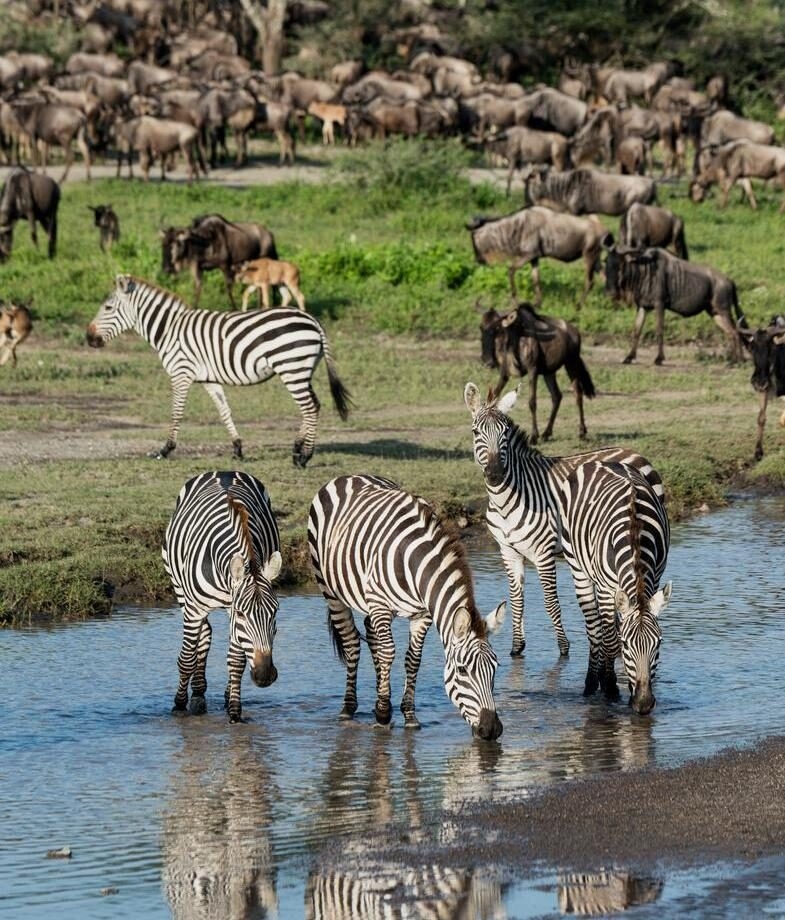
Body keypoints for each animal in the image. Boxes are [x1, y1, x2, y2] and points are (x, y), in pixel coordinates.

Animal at [86, 274, 351, 467]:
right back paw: (297, 449)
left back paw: (304, 457)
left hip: (292, 368)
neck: (168, 329)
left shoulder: (181, 373)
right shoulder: (208, 379)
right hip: (302, 370)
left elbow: (176, 412)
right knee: (314, 405)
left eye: (107, 307)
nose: (88, 338)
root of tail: (312, 320)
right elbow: (225, 411)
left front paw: (165, 449)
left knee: (310, 407)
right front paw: (237, 449)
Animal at [161, 470, 282, 722]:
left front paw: (235, 712)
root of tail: (223, 471)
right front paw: (179, 704)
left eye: (275, 612)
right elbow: (186, 658)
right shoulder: (197, 610)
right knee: (203, 635)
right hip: (180, 590)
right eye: (242, 614)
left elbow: (236, 661)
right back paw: (196, 695)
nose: (264, 676)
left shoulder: (231, 609)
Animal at [308, 474, 505, 739]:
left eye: (495, 668)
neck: (415, 563)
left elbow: (413, 659)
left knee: (371, 635)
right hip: (331, 590)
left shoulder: (422, 614)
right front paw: (383, 714)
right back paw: (349, 707)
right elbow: (389, 652)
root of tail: (349, 476)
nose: (492, 729)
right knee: (352, 643)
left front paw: (408, 715)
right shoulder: (380, 604)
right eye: (463, 670)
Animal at [464, 382, 665, 658]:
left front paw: (563, 647)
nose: (495, 475)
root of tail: (634, 452)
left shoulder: (543, 552)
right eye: (476, 432)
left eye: (504, 433)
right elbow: (516, 599)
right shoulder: (508, 551)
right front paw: (516, 647)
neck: (505, 502)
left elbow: (550, 602)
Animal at [559, 460, 671, 714]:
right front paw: (610, 687)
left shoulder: (654, 579)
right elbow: (610, 639)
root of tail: (601, 462)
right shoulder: (605, 588)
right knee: (595, 628)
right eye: (627, 645)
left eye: (659, 643)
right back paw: (593, 682)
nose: (643, 704)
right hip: (577, 566)